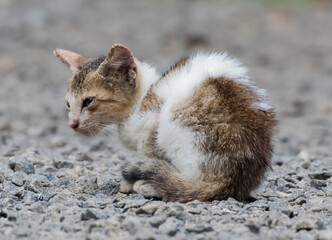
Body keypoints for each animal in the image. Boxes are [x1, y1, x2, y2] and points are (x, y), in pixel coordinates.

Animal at [53, 43, 274, 202]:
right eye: (68, 104)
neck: (143, 98)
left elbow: (148, 153)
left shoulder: (152, 122)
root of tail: (233, 180)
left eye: (88, 101)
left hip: (174, 123)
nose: (72, 123)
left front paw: (132, 182)